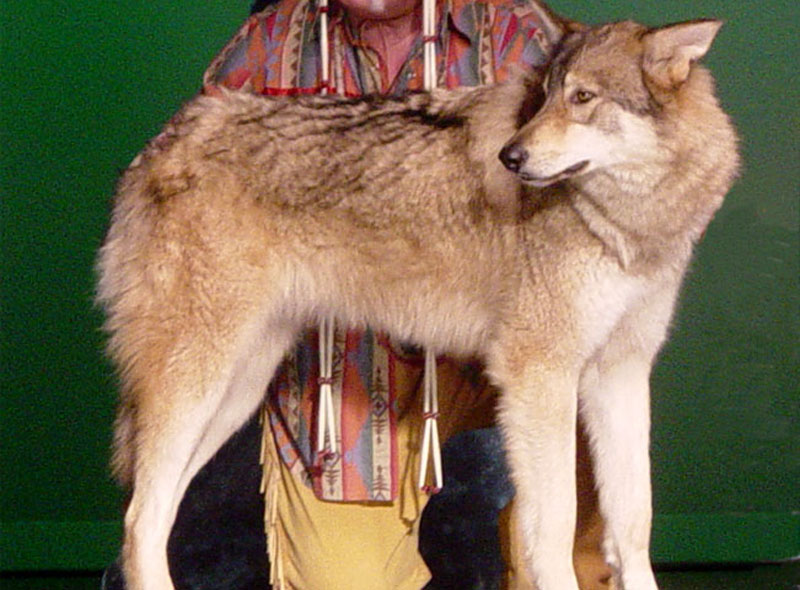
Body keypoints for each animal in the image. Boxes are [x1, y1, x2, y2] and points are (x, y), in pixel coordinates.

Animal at [97, 18, 739, 590]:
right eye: (545, 99)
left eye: (582, 97)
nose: (511, 157)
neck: (628, 224)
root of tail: (162, 142)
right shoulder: (540, 374)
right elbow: (554, 528)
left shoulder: (619, 374)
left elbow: (633, 521)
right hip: (197, 385)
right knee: (138, 520)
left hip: (235, 390)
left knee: (152, 517)